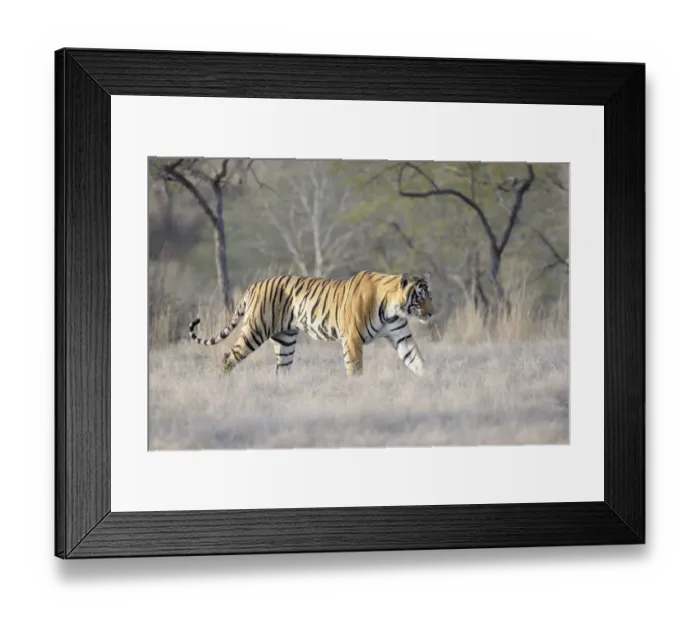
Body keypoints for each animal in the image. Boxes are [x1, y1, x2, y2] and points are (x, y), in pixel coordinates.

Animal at [187, 270, 435, 377]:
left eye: (430, 296)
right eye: (420, 297)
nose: (432, 313)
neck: (392, 309)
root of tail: (254, 285)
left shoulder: (401, 336)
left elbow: (417, 360)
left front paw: (430, 382)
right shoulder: (352, 339)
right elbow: (355, 368)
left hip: (285, 339)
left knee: (281, 369)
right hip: (255, 330)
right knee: (229, 356)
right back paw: (223, 382)